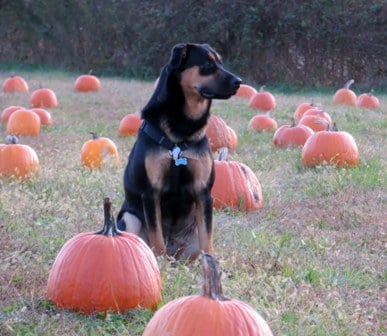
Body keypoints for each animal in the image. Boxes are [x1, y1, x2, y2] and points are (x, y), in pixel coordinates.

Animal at [116, 42, 241, 260]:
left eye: (220, 62)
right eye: (208, 64)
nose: (239, 82)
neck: (181, 133)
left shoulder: (203, 191)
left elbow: (207, 237)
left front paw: (212, 260)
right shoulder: (151, 192)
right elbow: (156, 235)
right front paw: (159, 261)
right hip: (130, 218)